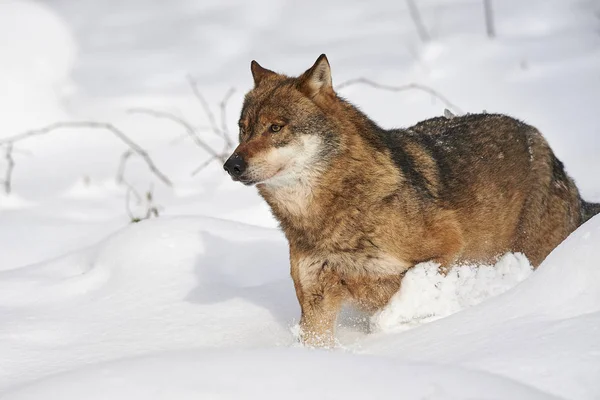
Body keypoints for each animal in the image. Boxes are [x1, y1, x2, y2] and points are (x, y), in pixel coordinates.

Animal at [223, 54, 596, 346]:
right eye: (243, 128)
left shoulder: (445, 247)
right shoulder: (316, 302)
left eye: (275, 127)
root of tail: (547, 150)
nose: (231, 165)